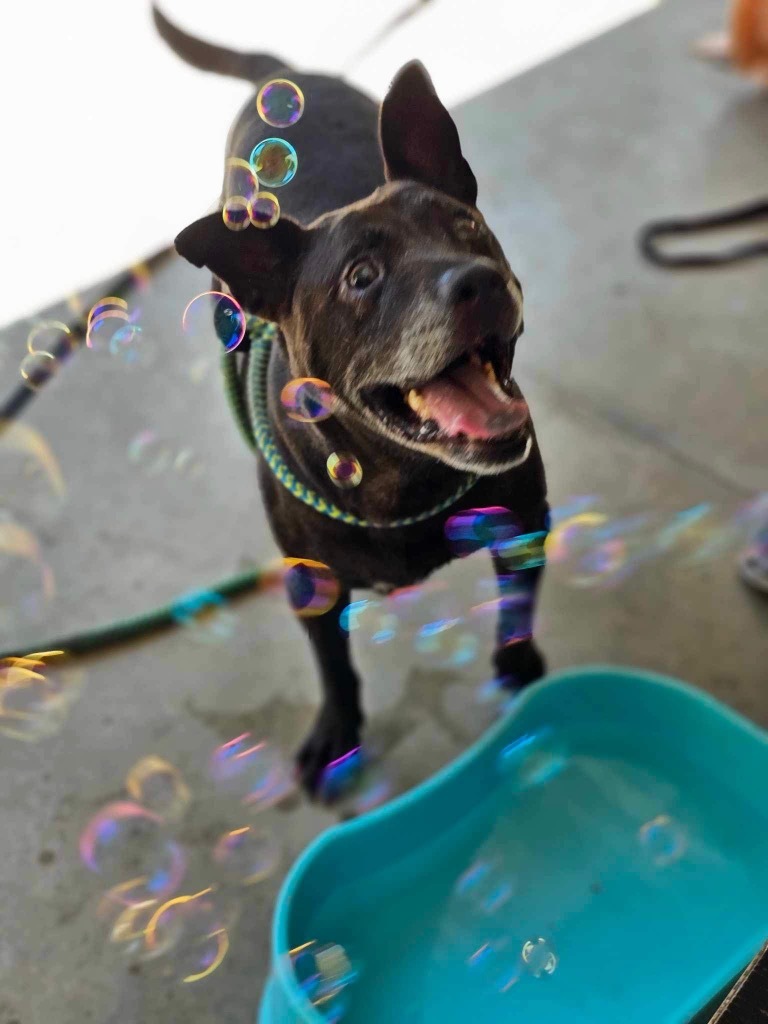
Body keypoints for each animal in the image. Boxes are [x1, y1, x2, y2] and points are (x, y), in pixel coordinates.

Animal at [156, 9, 548, 798]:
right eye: (361, 276)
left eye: (466, 229)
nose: (480, 281)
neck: (403, 476)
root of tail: (285, 75)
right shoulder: (313, 585)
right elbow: (333, 665)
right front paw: (337, 734)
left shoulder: (525, 523)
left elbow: (518, 608)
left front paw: (518, 670)